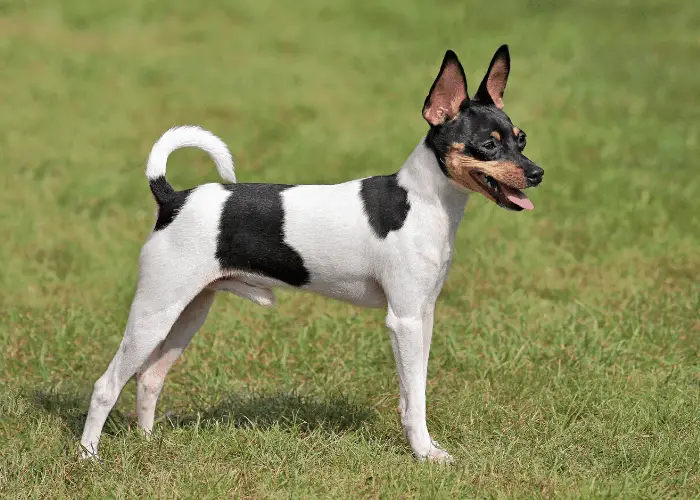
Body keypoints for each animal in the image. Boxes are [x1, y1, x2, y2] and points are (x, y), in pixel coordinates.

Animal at [79, 45, 544, 462]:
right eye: (488, 145)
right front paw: (425, 453)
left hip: (189, 311)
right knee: (106, 385)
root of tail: (171, 198)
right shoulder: (405, 321)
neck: (422, 201)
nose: (537, 173)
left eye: (520, 139)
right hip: (154, 312)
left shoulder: (423, 316)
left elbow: (417, 390)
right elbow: (414, 398)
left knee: (149, 377)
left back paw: (147, 445)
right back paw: (88, 457)